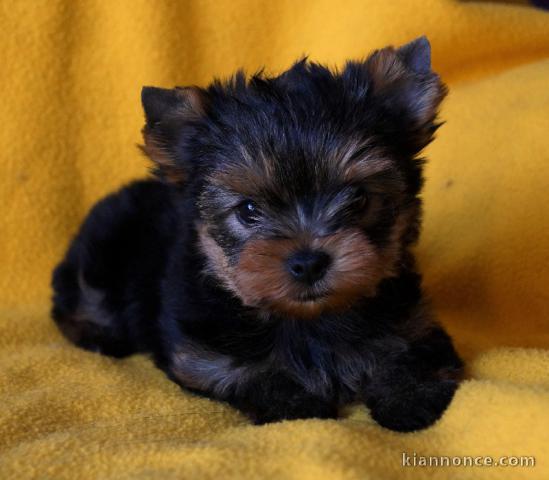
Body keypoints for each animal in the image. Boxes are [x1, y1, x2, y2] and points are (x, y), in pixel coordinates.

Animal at [51, 35, 462, 430]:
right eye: (248, 210)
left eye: (359, 198)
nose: (308, 263)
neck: (309, 320)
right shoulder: (202, 357)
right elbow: (248, 372)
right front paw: (297, 405)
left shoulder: (415, 323)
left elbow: (413, 354)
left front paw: (410, 400)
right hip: (101, 252)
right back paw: (98, 335)